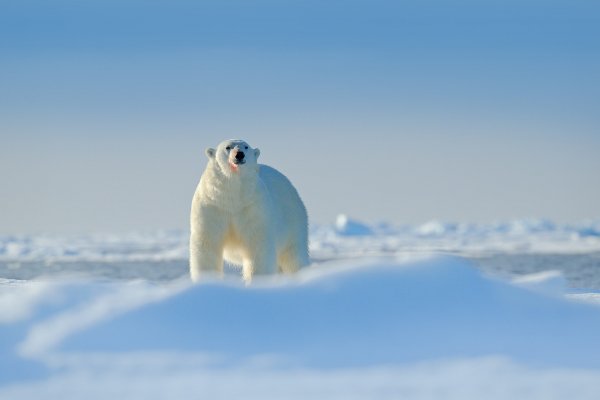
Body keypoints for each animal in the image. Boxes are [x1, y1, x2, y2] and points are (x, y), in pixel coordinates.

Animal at [189, 139, 312, 282]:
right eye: (228, 147)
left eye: (246, 147)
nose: (239, 154)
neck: (232, 198)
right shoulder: (212, 205)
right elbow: (207, 244)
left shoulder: (252, 207)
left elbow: (257, 246)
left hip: (293, 221)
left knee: (293, 257)